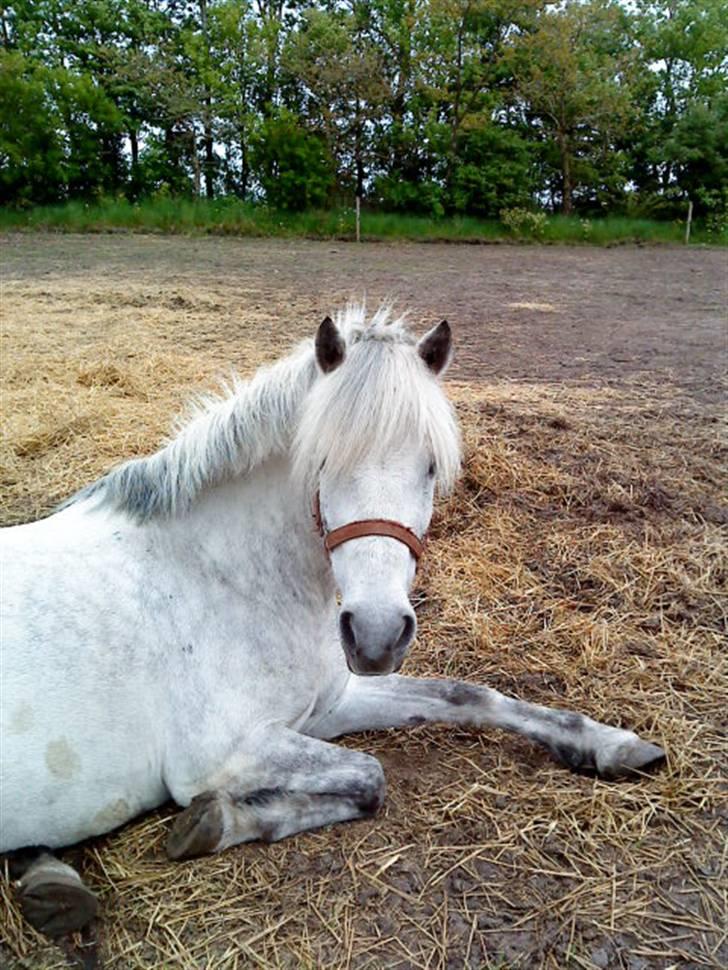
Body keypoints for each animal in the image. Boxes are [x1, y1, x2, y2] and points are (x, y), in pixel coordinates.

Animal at [0, 306, 664, 932]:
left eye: (430, 467)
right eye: (323, 462)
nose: (375, 634)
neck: (220, 576)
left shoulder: (327, 705)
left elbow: (470, 696)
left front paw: (610, 743)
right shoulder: (218, 758)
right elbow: (370, 776)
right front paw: (219, 821)